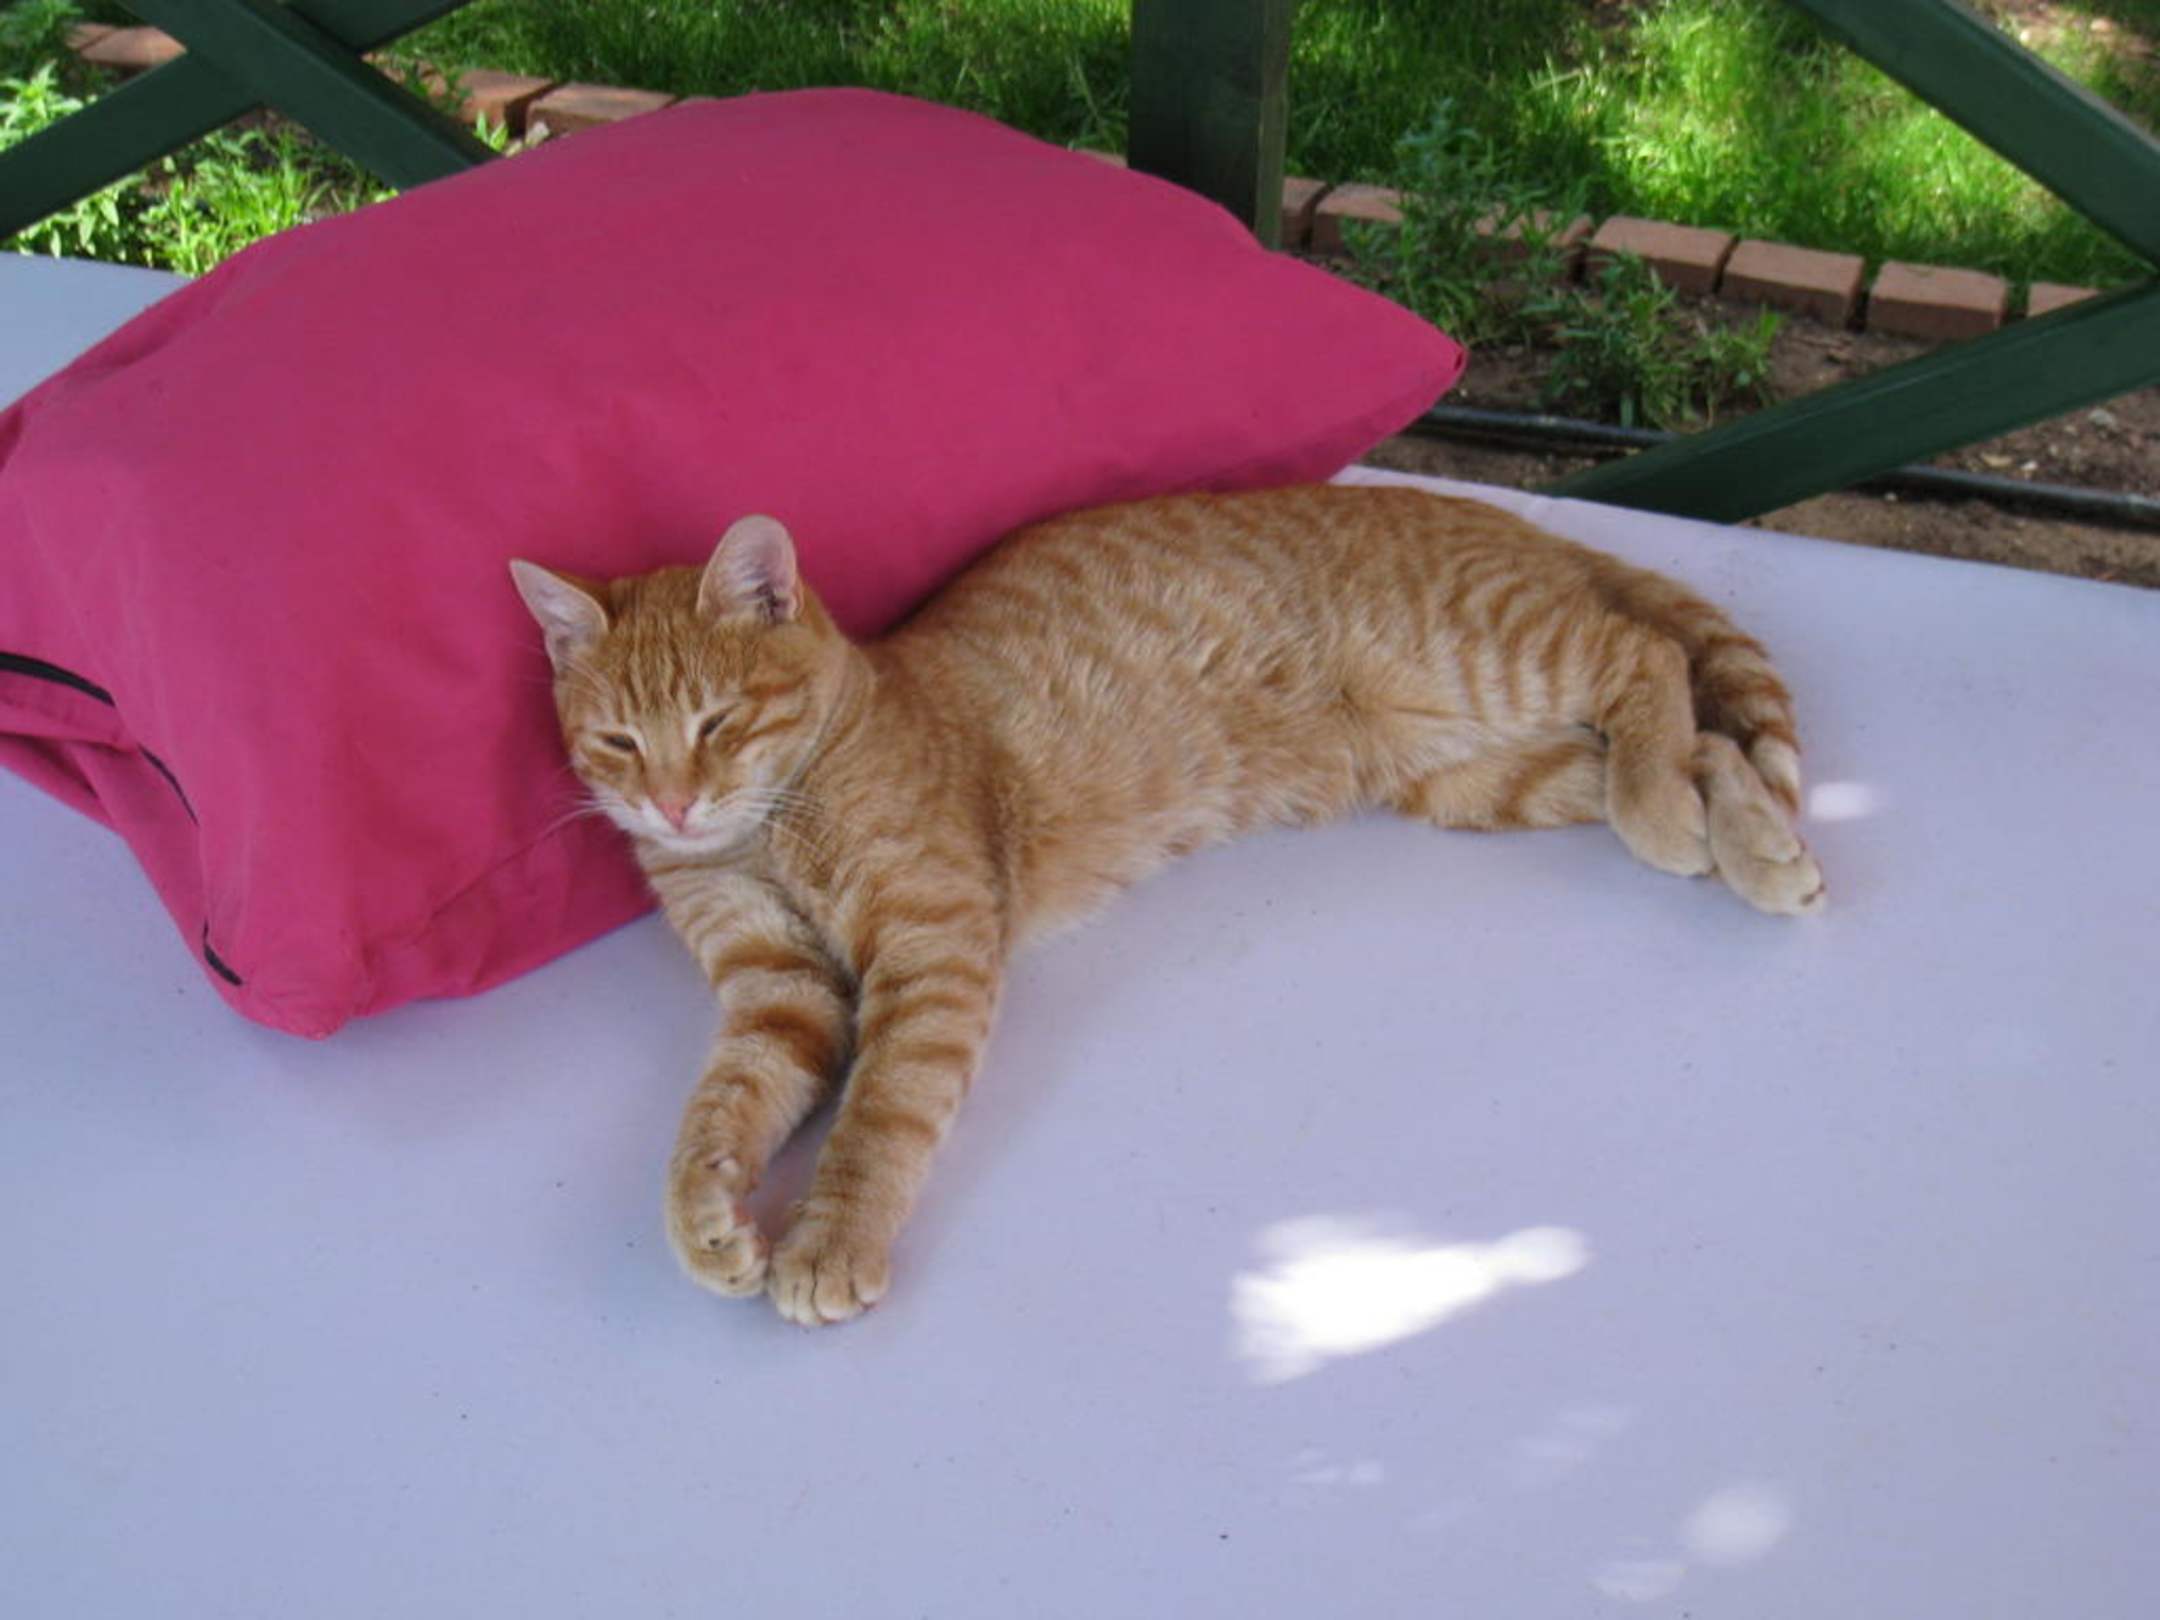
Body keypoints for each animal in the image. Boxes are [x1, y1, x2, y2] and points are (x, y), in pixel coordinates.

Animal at [511, 484, 1822, 1326]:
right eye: (618, 742)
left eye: (719, 723)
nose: (673, 804)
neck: (773, 827)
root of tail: (1503, 516)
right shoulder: (775, 992)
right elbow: (719, 1106)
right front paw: (708, 1217)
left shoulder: (934, 946)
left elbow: (881, 1110)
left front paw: (830, 1239)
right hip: (1483, 775)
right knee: (1708, 744)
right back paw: (1754, 843)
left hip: (1497, 654)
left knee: (1647, 660)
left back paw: (1683, 819)